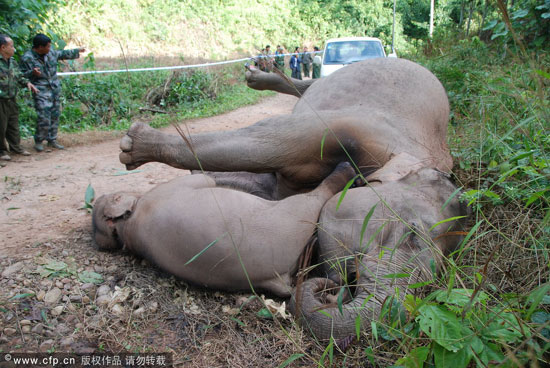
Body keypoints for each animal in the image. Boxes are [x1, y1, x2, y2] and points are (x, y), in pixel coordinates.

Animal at [92, 162, 356, 298]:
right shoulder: (168, 189)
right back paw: (345, 170)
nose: (101, 195)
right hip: (288, 221)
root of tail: (272, 280)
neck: (126, 227)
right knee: (314, 199)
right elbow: (204, 180)